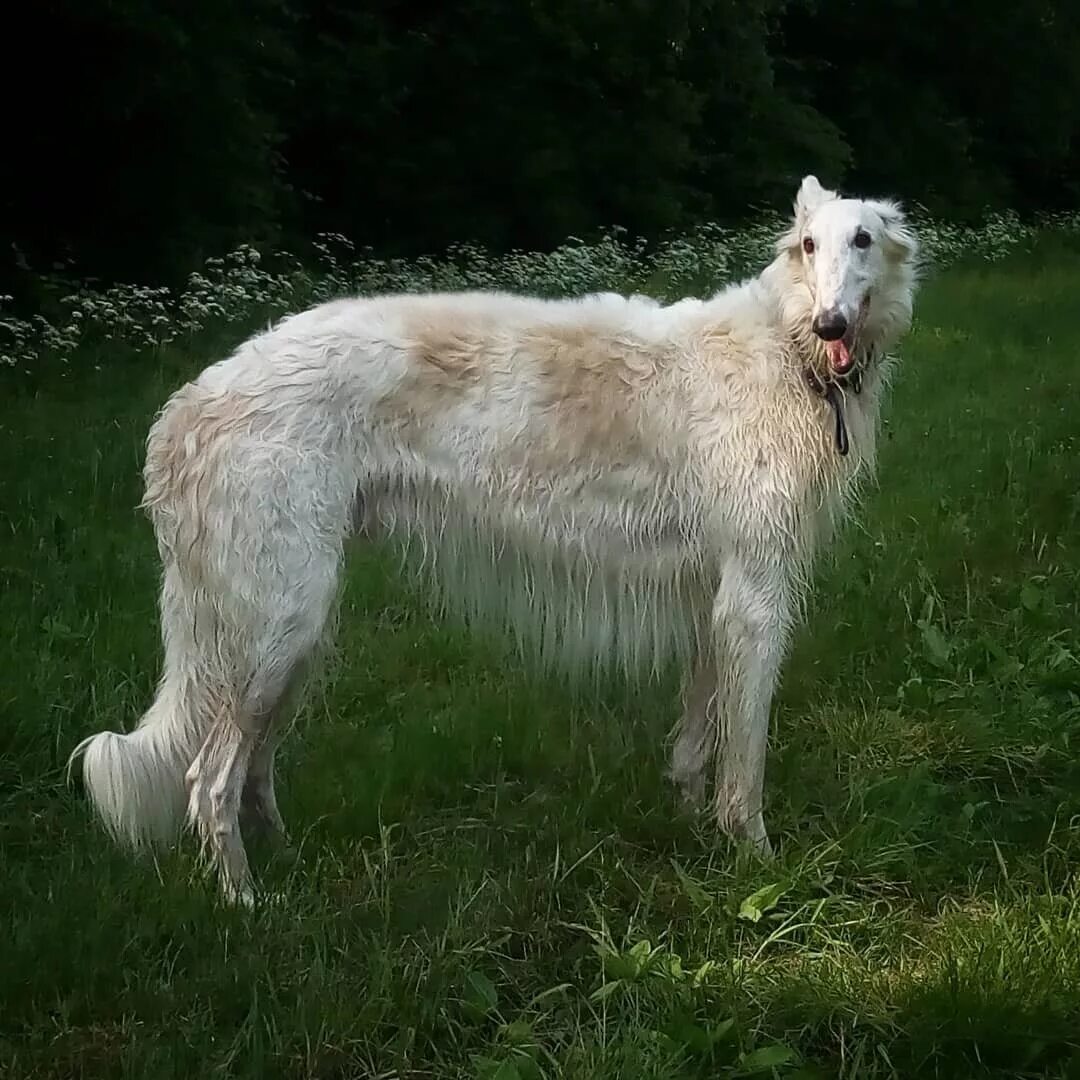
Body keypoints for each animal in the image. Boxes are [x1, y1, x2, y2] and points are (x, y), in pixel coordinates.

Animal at [69, 174, 920, 902]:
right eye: (808, 244)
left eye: (864, 239)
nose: (833, 324)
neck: (785, 351)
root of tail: (187, 407)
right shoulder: (754, 598)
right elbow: (744, 763)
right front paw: (756, 861)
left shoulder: (713, 600)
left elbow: (696, 739)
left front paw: (688, 828)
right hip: (275, 623)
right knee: (209, 780)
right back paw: (248, 904)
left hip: (286, 631)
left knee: (252, 768)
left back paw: (286, 858)